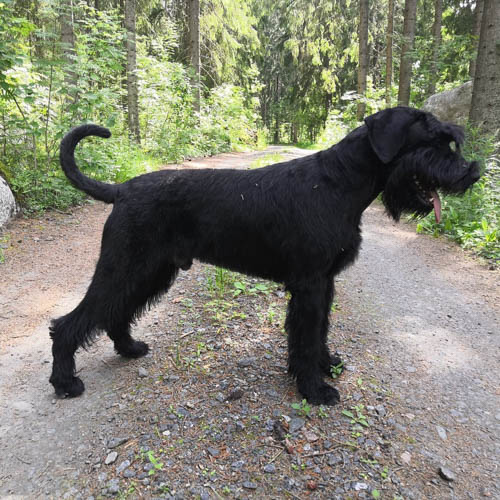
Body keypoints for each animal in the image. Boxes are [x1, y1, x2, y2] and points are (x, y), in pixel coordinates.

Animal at [49, 107, 480, 404]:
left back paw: (129, 348)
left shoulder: (325, 283)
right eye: (431, 141)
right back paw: (65, 382)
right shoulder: (309, 285)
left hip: (150, 271)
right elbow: (305, 337)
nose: (471, 172)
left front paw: (326, 365)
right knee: (69, 323)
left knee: (115, 311)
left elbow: (320, 331)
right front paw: (314, 389)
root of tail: (121, 189)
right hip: (125, 266)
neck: (339, 182)